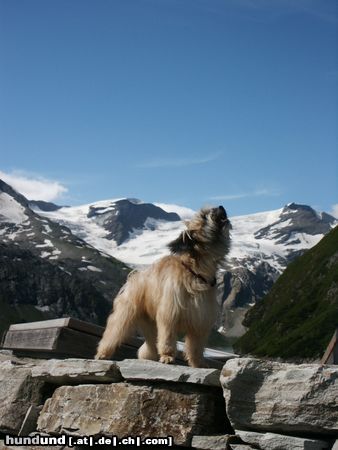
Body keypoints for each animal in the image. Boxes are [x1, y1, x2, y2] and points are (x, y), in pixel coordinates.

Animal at [96, 206, 231, 368]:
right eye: (204, 216)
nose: (221, 207)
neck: (196, 271)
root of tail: (135, 277)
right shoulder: (169, 314)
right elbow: (167, 337)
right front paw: (167, 356)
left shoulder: (200, 320)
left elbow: (196, 347)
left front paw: (198, 363)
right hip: (125, 315)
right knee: (113, 333)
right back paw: (103, 353)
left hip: (150, 325)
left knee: (151, 344)